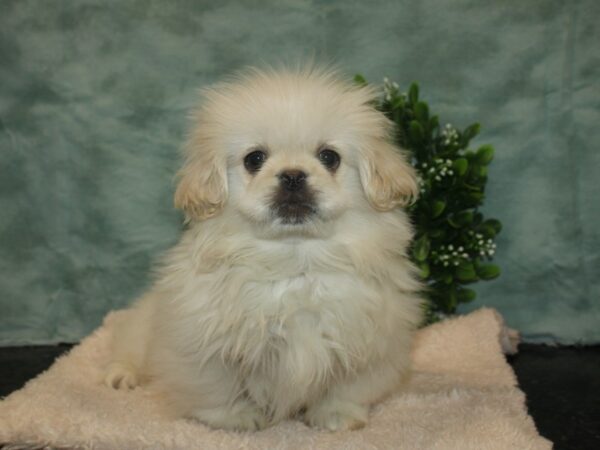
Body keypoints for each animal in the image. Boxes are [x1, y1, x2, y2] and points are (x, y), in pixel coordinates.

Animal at [104, 67, 422, 432]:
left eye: (329, 157)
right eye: (254, 159)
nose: (293, 175)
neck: (295, 262)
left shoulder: (371, 344)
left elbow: (348, 387)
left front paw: (335, 416)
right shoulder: (204, 348)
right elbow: (217, 390)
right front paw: (237, 419)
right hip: (144, 326)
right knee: (129, 344)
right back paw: (122, 375)